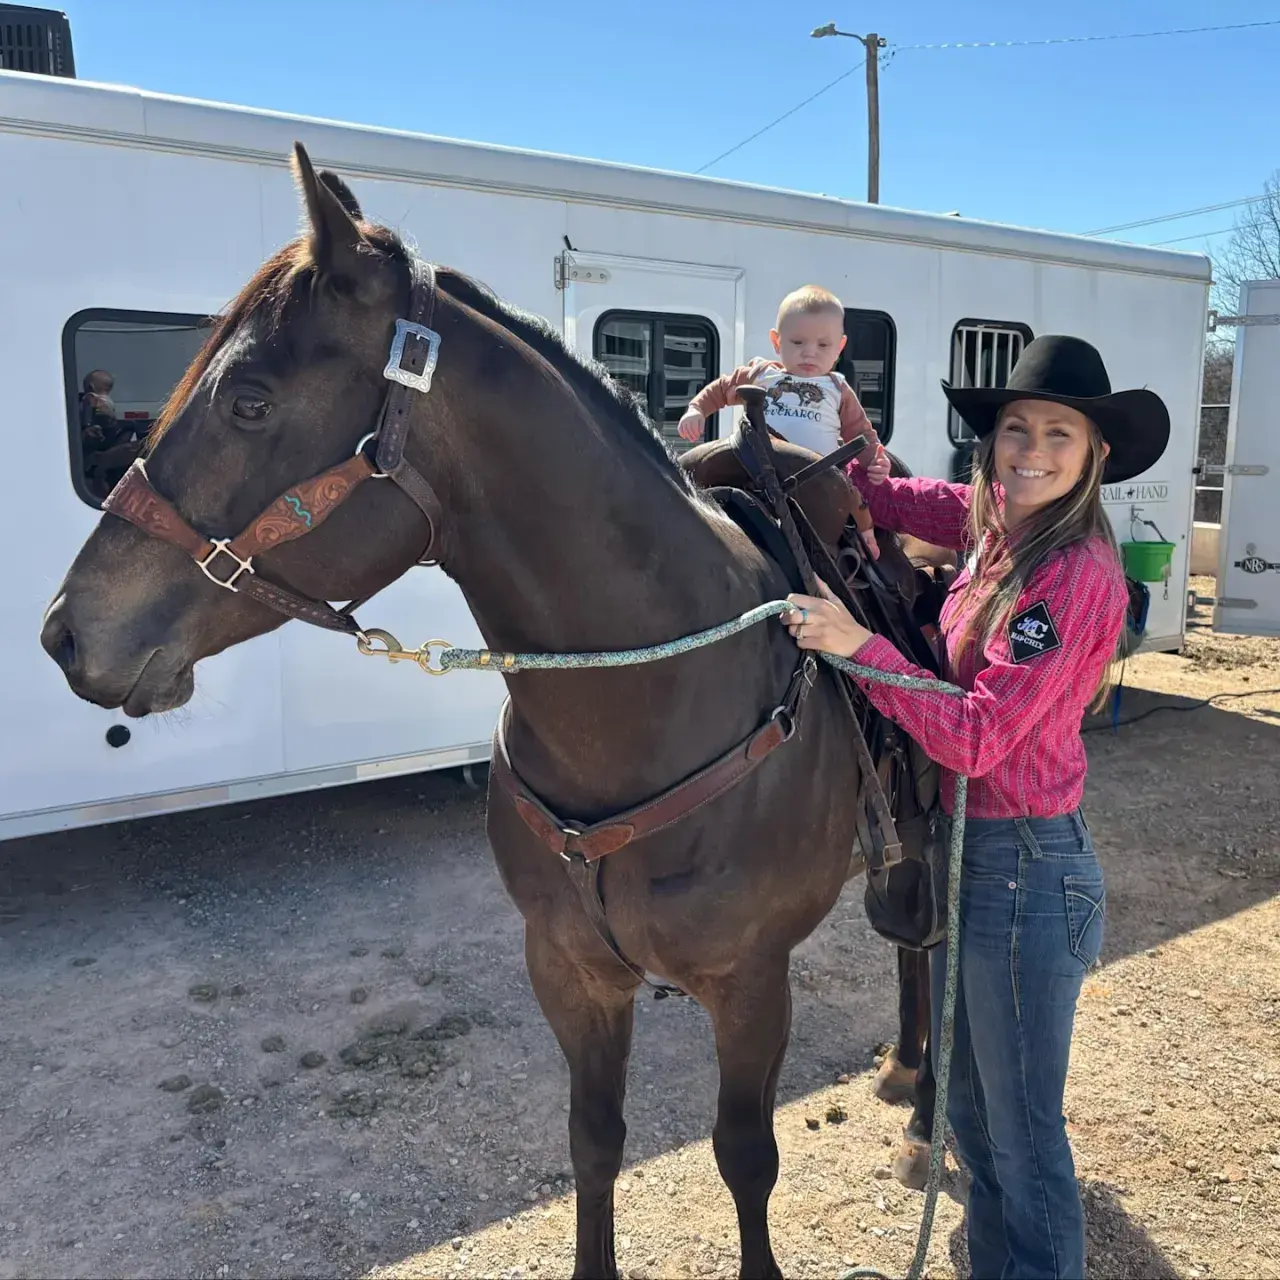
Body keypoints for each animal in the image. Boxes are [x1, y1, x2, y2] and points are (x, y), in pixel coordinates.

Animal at [41, 146, 936, 1279]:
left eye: (248, 399)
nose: (69, 630)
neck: (656, 702)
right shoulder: (568, 971)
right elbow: (592, 1141)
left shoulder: (749, 981)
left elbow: (744, 1154)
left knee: (932, 934)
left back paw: (925, 1107)